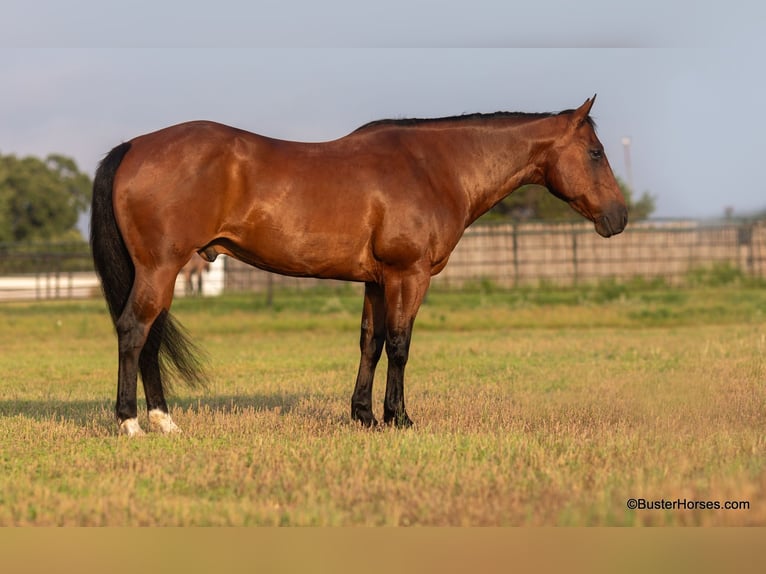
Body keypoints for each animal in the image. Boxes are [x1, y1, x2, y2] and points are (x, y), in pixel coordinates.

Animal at [91, 95, 632, 436]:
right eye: (595, 152)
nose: (619, 217)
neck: (435, 167)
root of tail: (133, 147)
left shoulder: (376, 280)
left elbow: (370, 344)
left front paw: (364, 417)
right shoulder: (407, 275)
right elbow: (400, 345)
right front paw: (399, 418)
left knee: (150, 339)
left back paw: (165, 421)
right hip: (160, 269)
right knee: (135, 331)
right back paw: (132, 423)